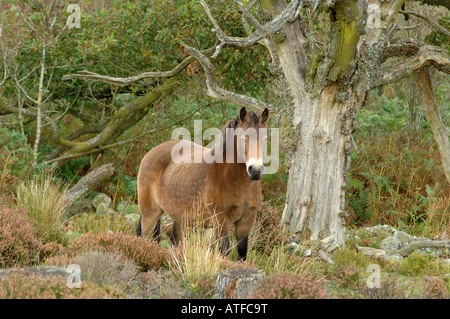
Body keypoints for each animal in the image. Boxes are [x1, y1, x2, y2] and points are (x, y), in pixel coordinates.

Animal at [134, 107, 268, 262]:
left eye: (265, 139)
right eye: (242, 138)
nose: (255, 170)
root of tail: (151, 153)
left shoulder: (246, 222)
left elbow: (242, 252)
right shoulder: (221, 221)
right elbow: (224, 250)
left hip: (179, 217)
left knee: (175, 241)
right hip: (150, 213)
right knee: (145, 238)